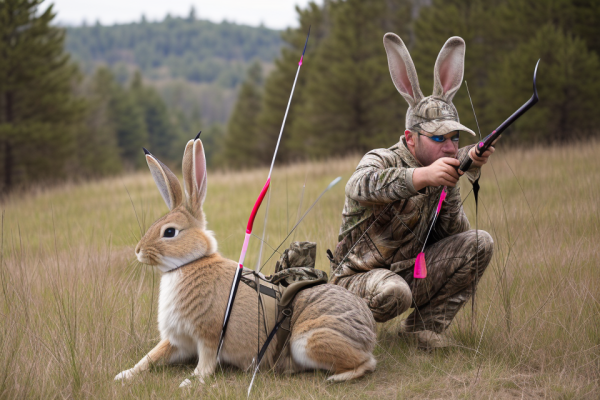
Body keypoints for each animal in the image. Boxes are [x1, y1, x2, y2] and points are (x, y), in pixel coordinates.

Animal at [113, 138, 376, 388]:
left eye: (169, 232)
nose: (138, 251)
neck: (188, 265)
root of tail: (368, 330)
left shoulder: (209, 337)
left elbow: (205, 364)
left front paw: (190, 382)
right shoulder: (178, 340)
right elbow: (151, 356)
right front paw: (123, 375)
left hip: (307, 341)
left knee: (367, 363)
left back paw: (337, 378)